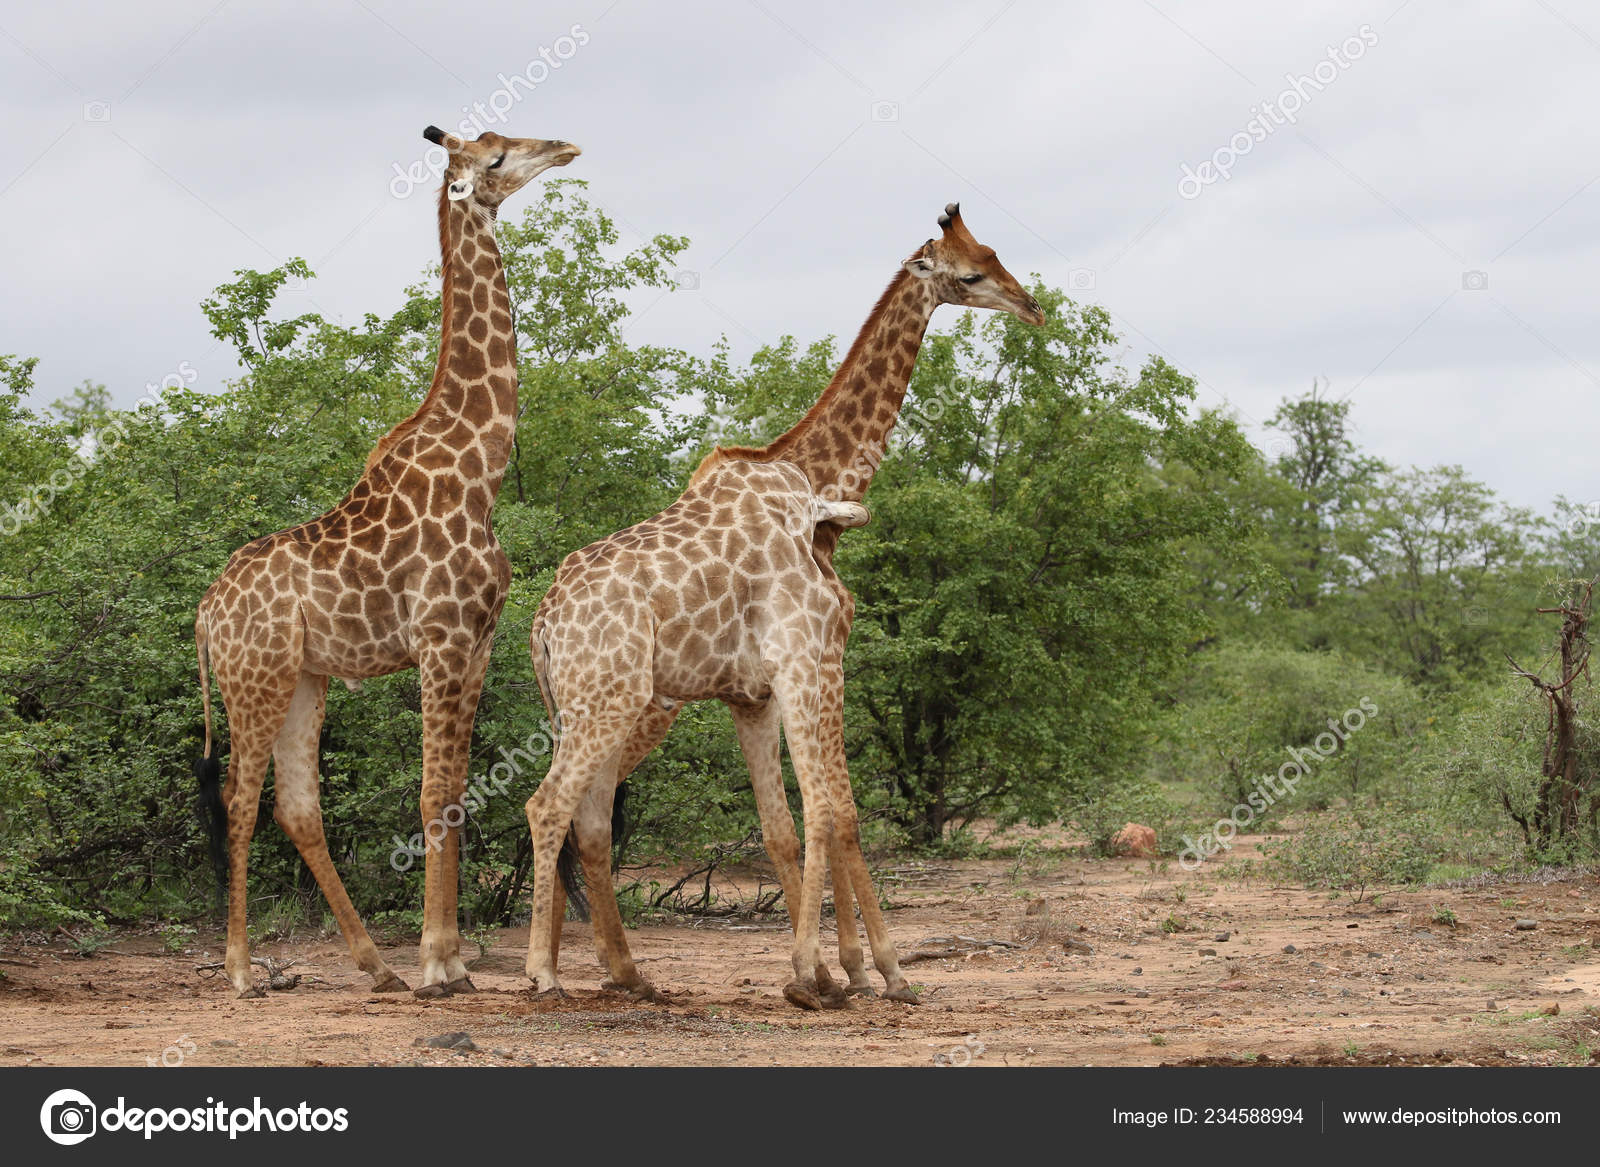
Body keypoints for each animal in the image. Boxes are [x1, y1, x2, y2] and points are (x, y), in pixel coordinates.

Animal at [193, 126, 580, 998]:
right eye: (495, 158)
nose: (565, 148)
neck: (481, 468)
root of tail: (202, 613)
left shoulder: (476, 642)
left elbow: (458, 790)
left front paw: (452, 960)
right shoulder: (439, 636)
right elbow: (434, 789)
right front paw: (439, 959)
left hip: (305, 678)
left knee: (296, 806)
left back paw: (374, 966)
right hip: (254, 678)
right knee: (239, 798)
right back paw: (241, 968)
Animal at [524, 203, 1044, 1008]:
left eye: (994, 254)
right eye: (969, 274)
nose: (1032, 306)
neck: (814, 477)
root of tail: (543, 621)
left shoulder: (756, 693)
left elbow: (784, 826)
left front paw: (833, 970)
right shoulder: (815, 659)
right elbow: (838, 810)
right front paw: (864, 971)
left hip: (597, 707)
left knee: (588, 817)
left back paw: (625, 971)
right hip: (612, 700)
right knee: (550, 806)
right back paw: (543, 972)